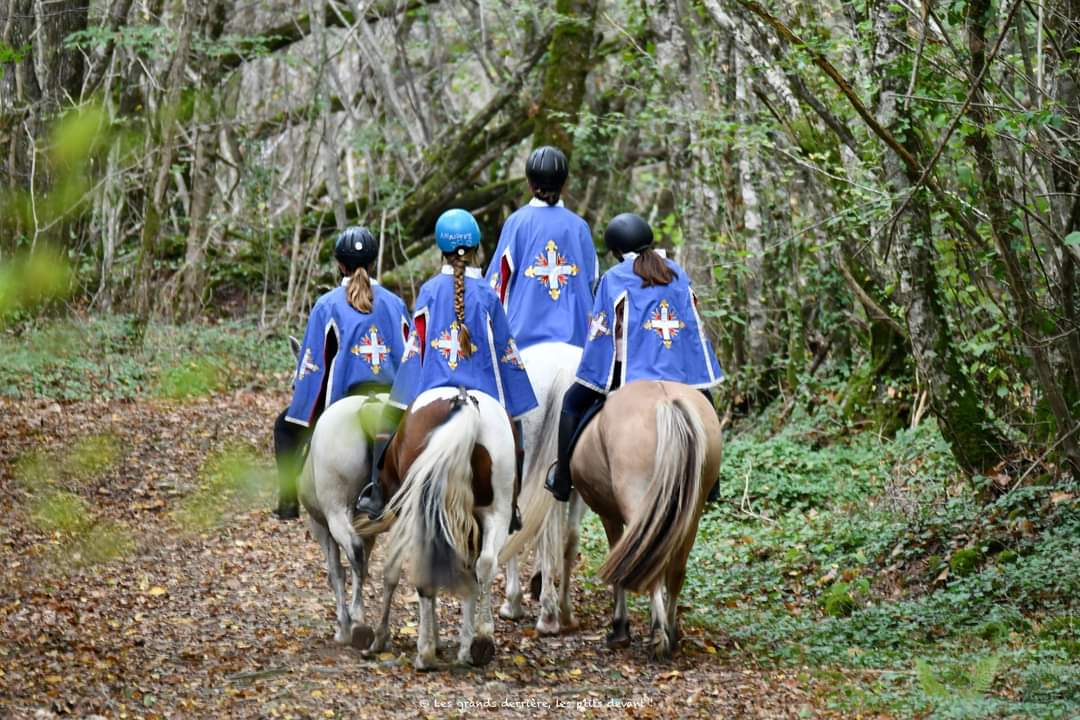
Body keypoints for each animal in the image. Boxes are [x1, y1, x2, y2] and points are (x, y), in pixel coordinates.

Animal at [355, 387, 517, 670]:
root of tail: (463, 401)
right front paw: (463, 647)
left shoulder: (404, 516)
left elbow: (391, 573)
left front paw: (381, 638)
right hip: (497, 512)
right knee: (485, 564)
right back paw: (482, 641)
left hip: (422, 512)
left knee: (425, 575)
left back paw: (425, 652)